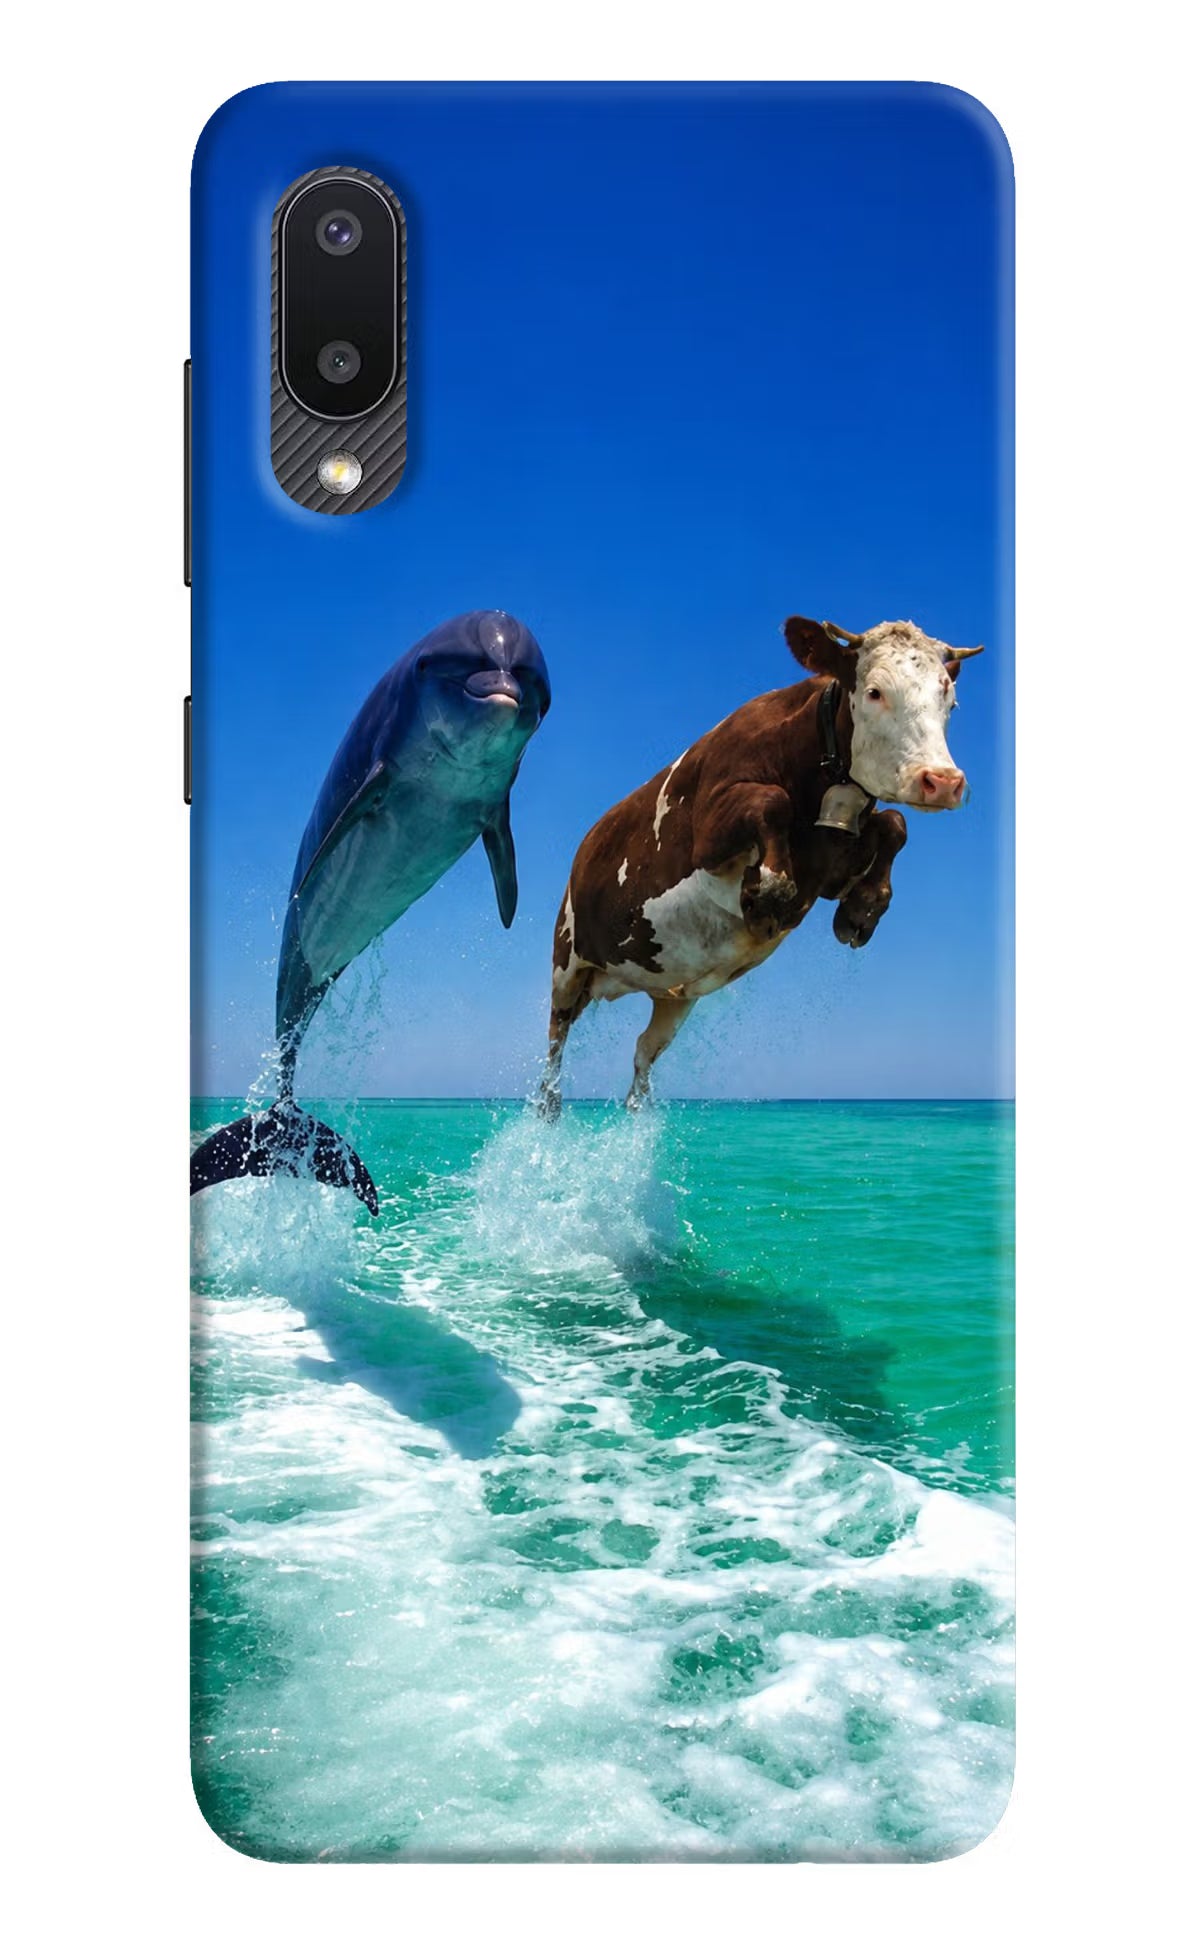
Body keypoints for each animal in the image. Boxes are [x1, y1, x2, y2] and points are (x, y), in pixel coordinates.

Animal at [537, 614, 983, 1116]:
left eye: (950, 699)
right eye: (874, 691)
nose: (942, 781)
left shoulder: (830, 867)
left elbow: (894, 823)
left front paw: (862, 909)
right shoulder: (709, 833)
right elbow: (772, 802)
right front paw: (768, 893)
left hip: (673, 995)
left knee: (643, 1052)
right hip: (566, 961)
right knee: (555, 1042)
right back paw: (549, 1106)